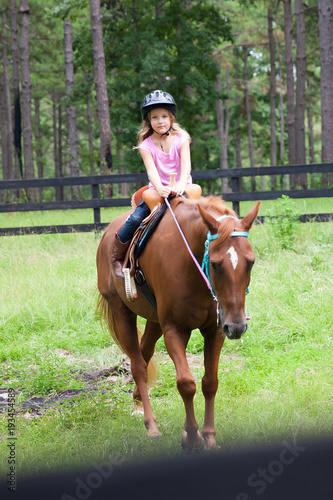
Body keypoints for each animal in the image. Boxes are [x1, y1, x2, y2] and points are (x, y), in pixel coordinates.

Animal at [96, 194, 260, 450]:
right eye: (215, 264)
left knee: (144, 354)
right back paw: (151, 425)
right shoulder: (174, 330)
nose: (237, 327)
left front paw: (209, 437)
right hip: (121, 311)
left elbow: (210, 382)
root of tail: (107, 234)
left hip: (154, 322)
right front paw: (191, 436)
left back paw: (137, 402)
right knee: (138, 365)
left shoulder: (215, 331)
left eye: (250, 262)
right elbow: (186, 383)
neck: (191, 263)